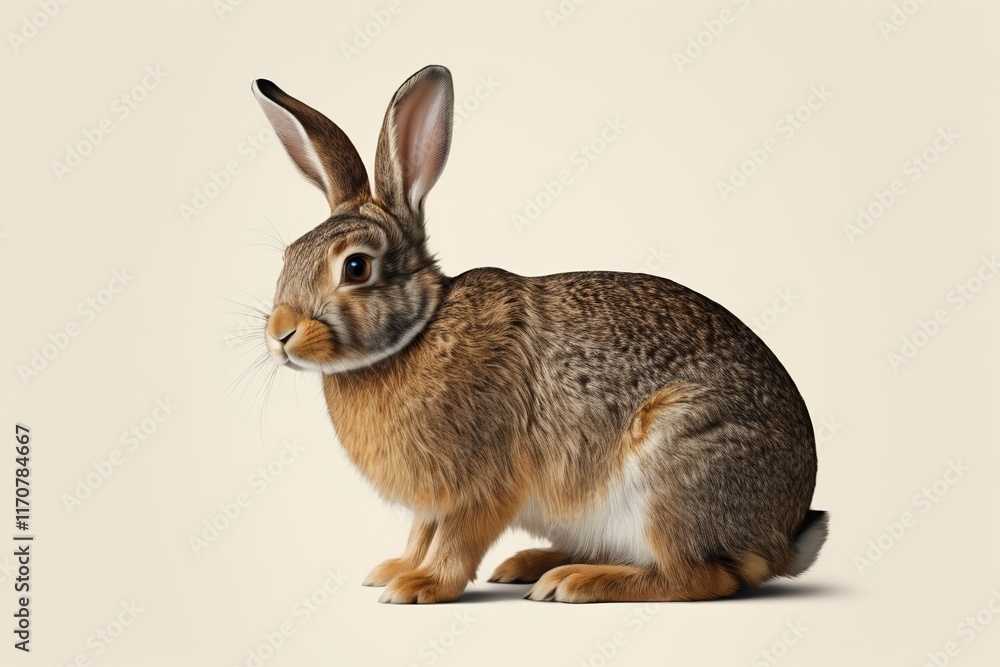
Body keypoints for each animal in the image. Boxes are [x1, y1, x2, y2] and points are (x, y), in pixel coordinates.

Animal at [251, 65, 828, 604]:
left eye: (355, 267)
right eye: (288, 256)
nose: (280, 334)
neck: (416, 332)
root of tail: (784, 534)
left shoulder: (483, 485)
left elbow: (456, 540)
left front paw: (421, 586)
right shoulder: (434, 501)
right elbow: (422, 532)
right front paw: (396, 569)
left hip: (675, 469)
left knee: (698, 577)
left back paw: (576, 581)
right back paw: (531, 563)